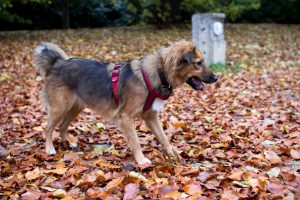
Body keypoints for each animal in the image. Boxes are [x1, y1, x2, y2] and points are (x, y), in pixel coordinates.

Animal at [33, 41, 218, 166]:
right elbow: (135, 141)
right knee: (48, 128)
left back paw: (68, 143)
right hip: (60, 107)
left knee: (62, 126)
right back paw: (49, 148)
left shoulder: (151, 116)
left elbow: (164, 137)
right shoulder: (126, 117)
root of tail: (56, 63)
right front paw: (142, 160)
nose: (216, 78)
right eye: (199, 63)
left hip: (75, 108)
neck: (159, 72)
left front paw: (173, 155)